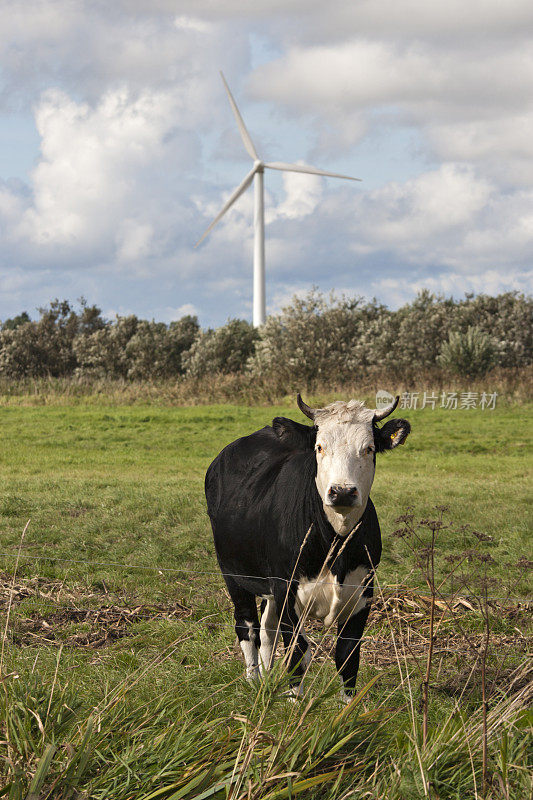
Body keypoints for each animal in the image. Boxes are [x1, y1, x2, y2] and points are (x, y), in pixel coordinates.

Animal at [205, 396, 412, 700]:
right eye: (319, 447)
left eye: (369, 448)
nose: (342, 491)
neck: (335, 543)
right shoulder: (286, 587)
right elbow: (297, 654)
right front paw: (294, 703)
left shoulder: (363, 592)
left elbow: (347, 656)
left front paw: (348, 707)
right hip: (233, 572)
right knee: (247, 626)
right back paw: (253, 682)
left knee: (267, 628)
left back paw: (266, 681)